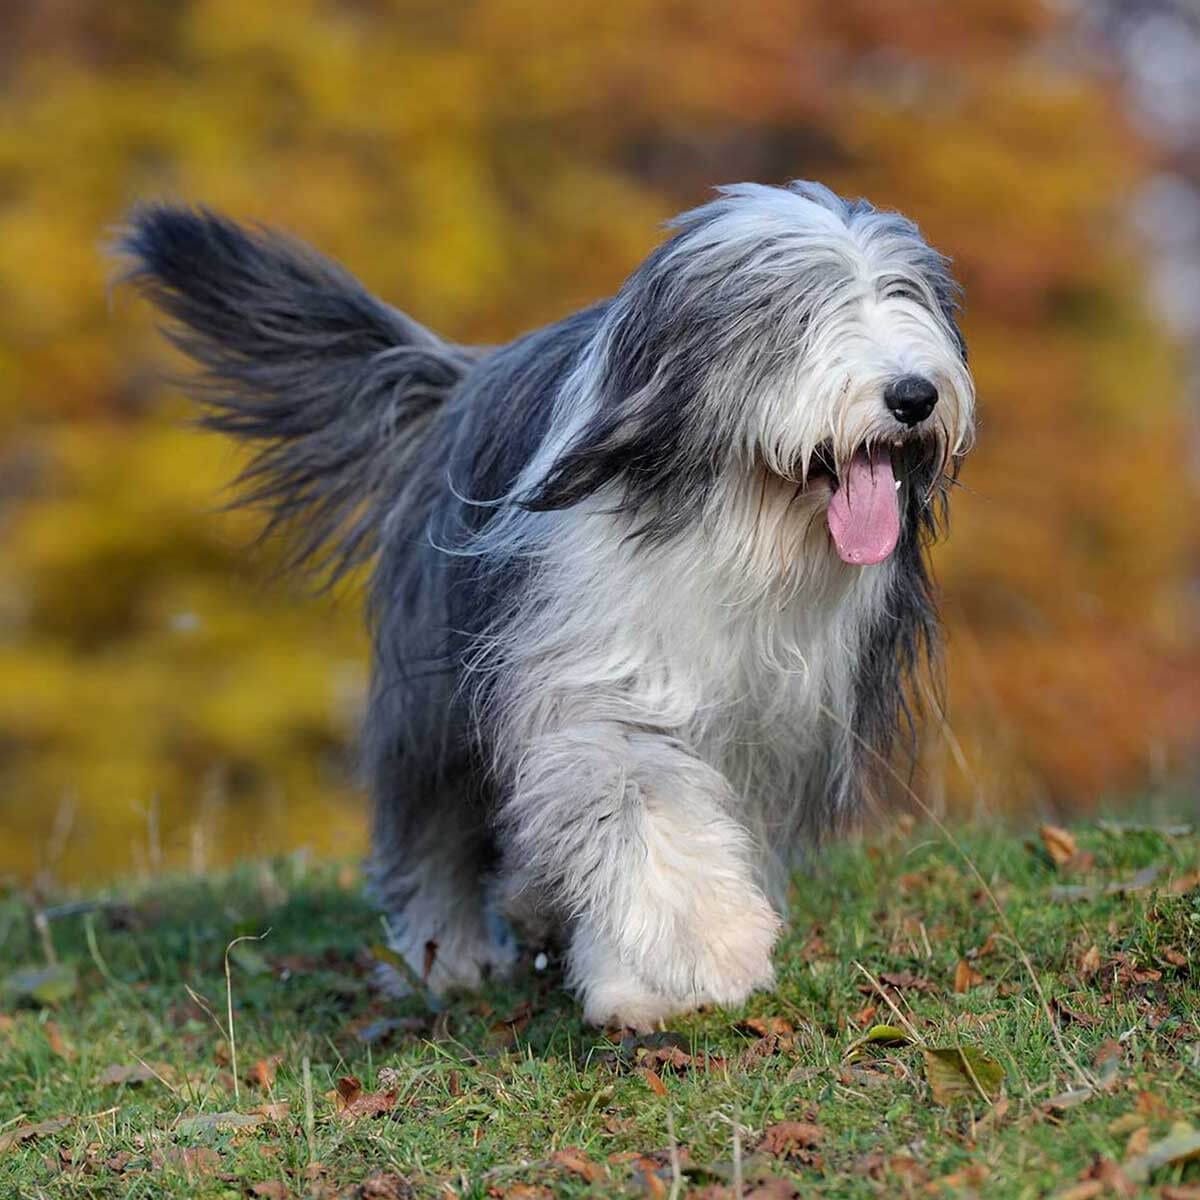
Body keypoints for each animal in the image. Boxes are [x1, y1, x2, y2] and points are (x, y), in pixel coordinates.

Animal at [117, 180, 969, 1032]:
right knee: (433, 825)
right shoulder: (592, 674)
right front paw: (711, 944)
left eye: (907, 295)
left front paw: (638, 981)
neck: (736, 533)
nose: (914, 395)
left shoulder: (778, 728)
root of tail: (460, 378)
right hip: (435, 696)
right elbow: (639, 801)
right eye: (800, 314)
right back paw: (445, 956)